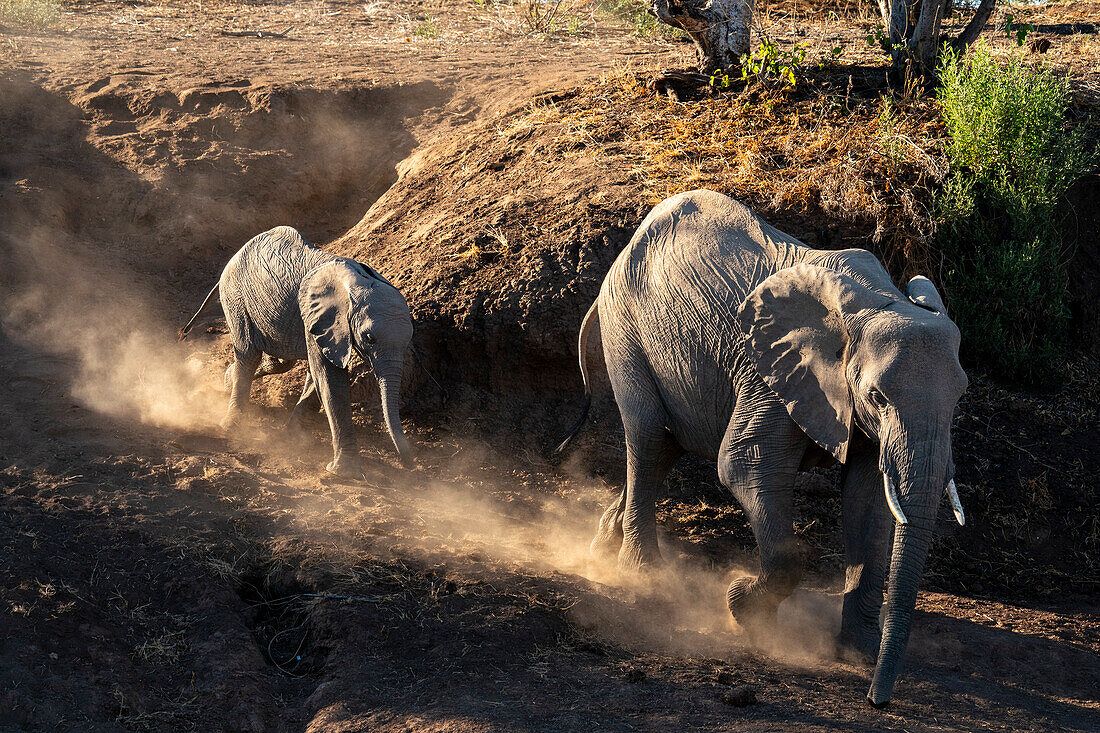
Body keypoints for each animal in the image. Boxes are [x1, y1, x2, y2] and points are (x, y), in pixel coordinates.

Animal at [180, 224, 413, 473]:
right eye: (369, 338)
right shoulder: (316, 317)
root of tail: (233, 258)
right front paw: (343, 472)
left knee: (278, 361)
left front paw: (292, 437)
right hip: (236, 298)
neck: (356, 283)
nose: (408, 464)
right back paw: (231, 425)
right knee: (248, 353)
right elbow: (328, 377)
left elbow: (317, 373)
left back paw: (227, 380)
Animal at [563, 188, 968, 704]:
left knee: (665, 449)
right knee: (649, 440)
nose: (877, 701)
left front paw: (858, 652)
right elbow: (743, 465)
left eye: (960, 396)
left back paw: (602, 547)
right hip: (626, 331)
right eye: (877, 396)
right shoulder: (771, 375)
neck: (877, 301)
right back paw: (642, 577)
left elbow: (870, 498)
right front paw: (740, 605)